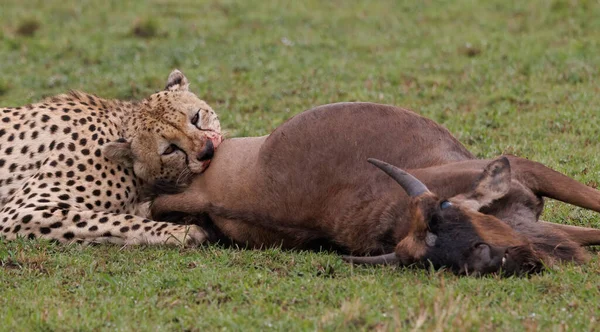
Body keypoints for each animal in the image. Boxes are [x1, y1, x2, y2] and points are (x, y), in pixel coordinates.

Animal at [0, 69, 223, 246]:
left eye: (196, 117)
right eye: (169, 149)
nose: (207, 150)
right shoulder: (21, 212)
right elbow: (117, 220)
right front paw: (182, 232)